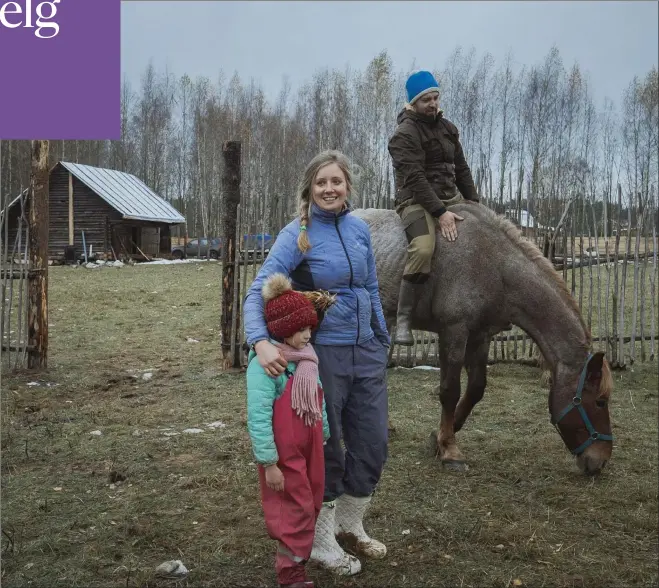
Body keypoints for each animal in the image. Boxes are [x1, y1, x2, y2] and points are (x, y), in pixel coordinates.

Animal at [354, 203, 616, 478]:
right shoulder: (454, 331)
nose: (600, 461)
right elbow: (450, 391)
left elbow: (476, 389)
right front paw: (449, 450)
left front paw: (439, 438)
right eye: (600, 401)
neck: (496, 267)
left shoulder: (480, 336)